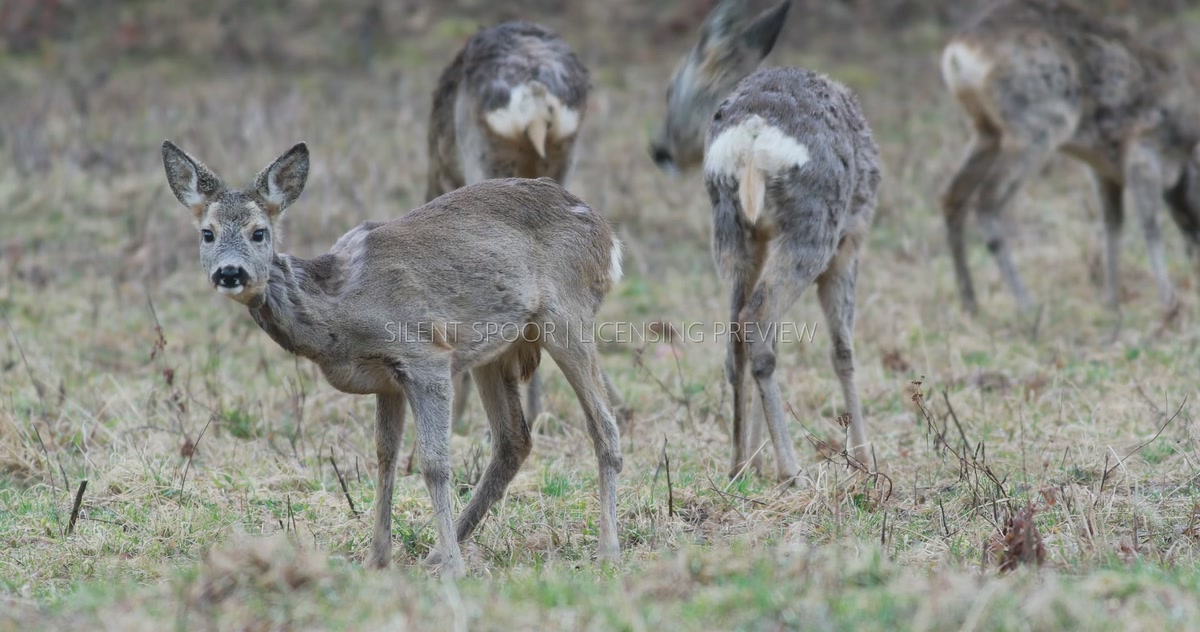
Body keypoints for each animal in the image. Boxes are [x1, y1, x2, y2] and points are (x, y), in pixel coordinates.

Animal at [160, 140, 625, 578]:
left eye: (259, 232)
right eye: (207, 233)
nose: (230, 273)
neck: (339, 306)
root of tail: (607, 235)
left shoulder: (425, 355)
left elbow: (434, 463)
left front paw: (454, 569)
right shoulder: (386, 380)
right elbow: (385, 459)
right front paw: (377, 558)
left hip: (567, 315)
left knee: (604, 424)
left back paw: (606, 551)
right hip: (494, 349)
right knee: (514, 440)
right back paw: (437, 550)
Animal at [650, 0, 880, 481]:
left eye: (669, 90)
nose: (659, 151)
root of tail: (753, 136)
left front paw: (757, 455)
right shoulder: (851, 242)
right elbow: (843, 349)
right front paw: (865, 459)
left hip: (731, 226)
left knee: (737, 331)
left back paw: (739, 462)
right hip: (814, 227)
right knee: (757, 318)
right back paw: (792, 468)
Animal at [940, 0, 1200, 321]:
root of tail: (959, 53)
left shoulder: (1104, 170)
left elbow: (1112, 226)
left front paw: (1112, 304)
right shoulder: (1143, 149)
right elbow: (1150, 226)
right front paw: (1169, 302)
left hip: (987, 130)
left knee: (953, 197)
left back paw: (971, 304)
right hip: (1040, 124)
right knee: (987, 203)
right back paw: (1027, 306)